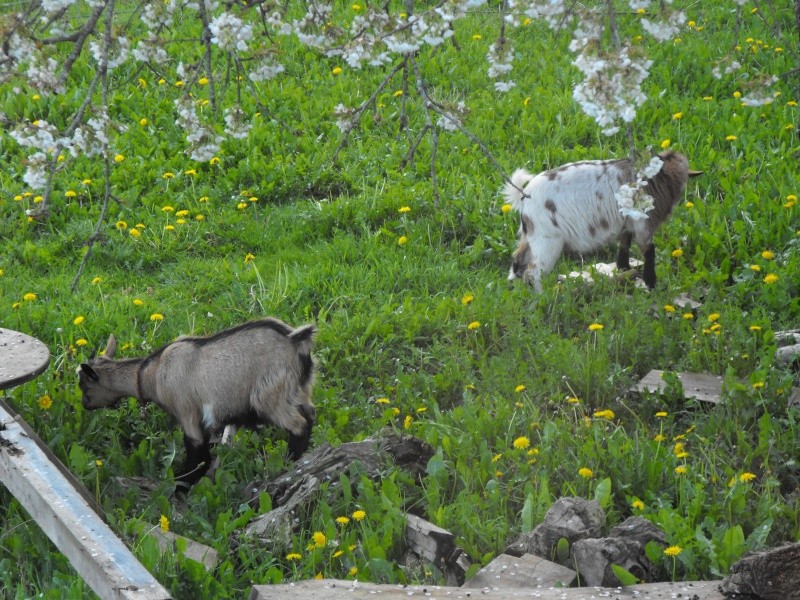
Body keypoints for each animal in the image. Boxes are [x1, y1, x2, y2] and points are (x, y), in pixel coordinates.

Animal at [78, 318, 316, 488]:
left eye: (84, 387)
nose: (84, 406)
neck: (151, 374)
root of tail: (296, 341)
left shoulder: (187, 411)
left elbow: (197, 452)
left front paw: (180, 482)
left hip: (268, 396)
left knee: (299, 424)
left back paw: (288, 462)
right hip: (298, 390)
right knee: (311, 413)